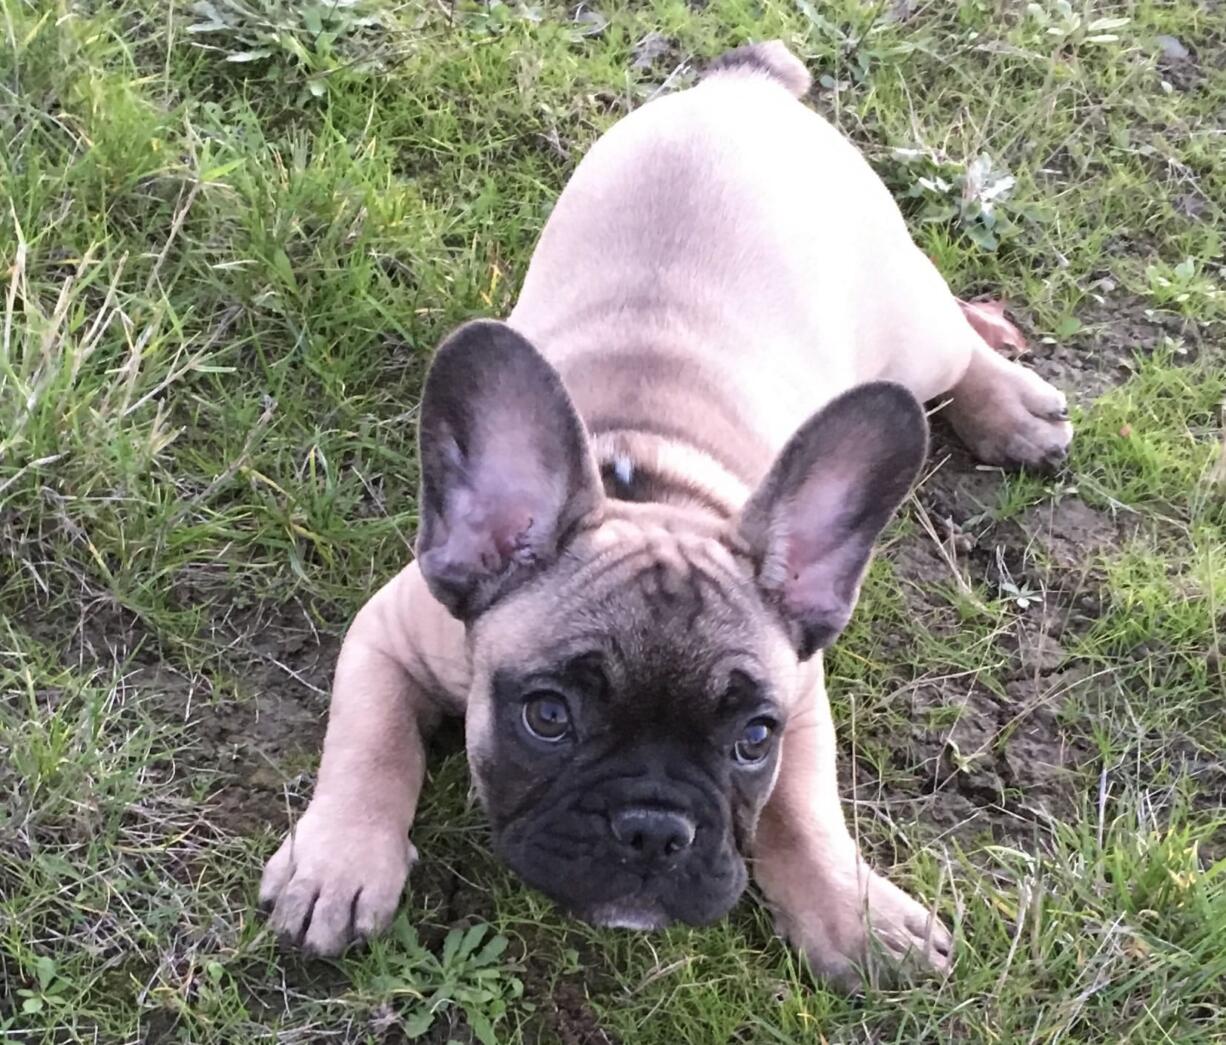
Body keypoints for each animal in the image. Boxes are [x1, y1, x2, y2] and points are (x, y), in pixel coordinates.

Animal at [261, 40, 1073, 986]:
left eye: (754, 737)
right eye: (548, 715)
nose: (654, 828)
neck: (650, 487)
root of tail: (744, 88)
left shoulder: (802, 692)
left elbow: (804, 810)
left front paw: (856, 915)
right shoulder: (387, 634)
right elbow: (369, 742)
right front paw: (339, 863)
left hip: (908, 324)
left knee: (957, 340)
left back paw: (1013, 404)